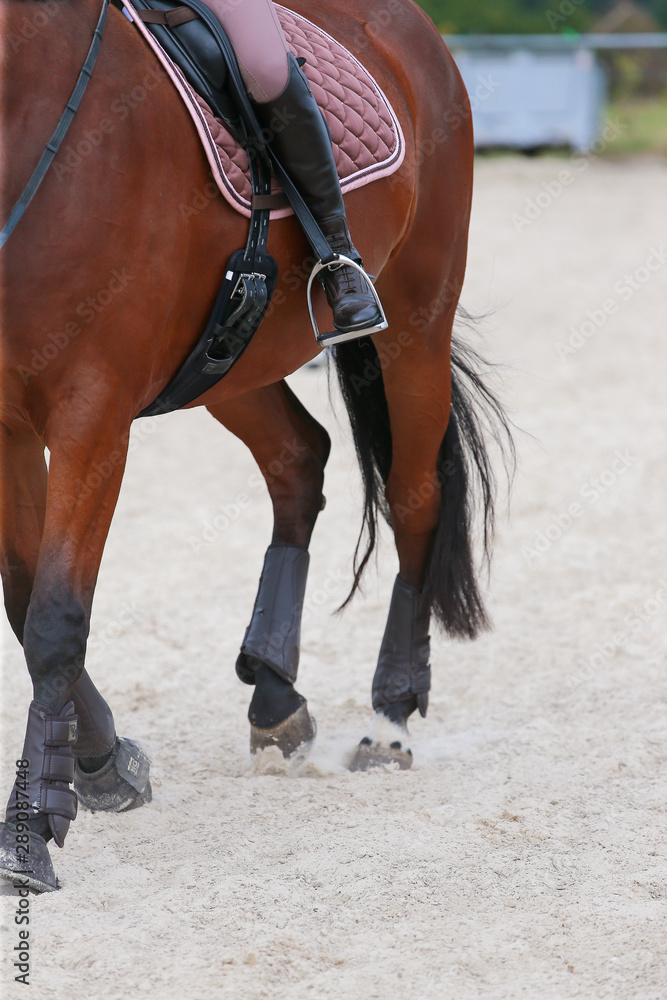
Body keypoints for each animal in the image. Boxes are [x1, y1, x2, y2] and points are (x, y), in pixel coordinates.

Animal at [0, 0, 510, 891]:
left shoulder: (90, 413)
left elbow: (55, 617)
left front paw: (30, 831)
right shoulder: (7, 420)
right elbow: (23, 598)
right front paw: (103, 765)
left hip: (415, 318)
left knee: (415, 495)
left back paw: (390, 717)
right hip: (231, 363)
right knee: (299, 458)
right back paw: (274, 695)